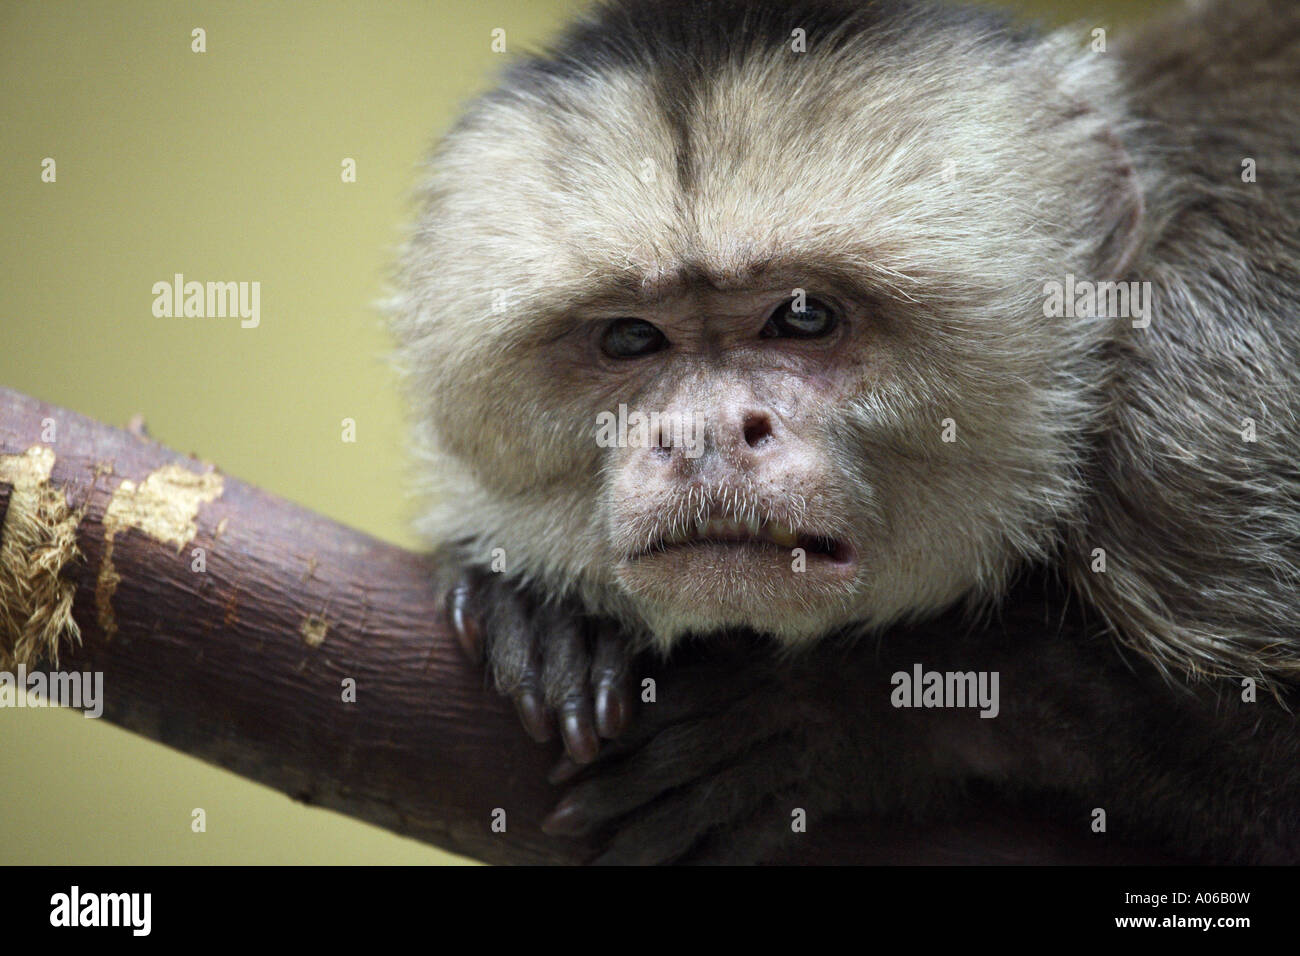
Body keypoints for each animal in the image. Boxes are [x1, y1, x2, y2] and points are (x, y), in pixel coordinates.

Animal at [390, 0, 1300, 868]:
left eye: (803, 317)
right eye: (630, 338)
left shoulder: (1195, 425)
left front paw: (845, 709)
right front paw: (542, 608)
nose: (707, 433)